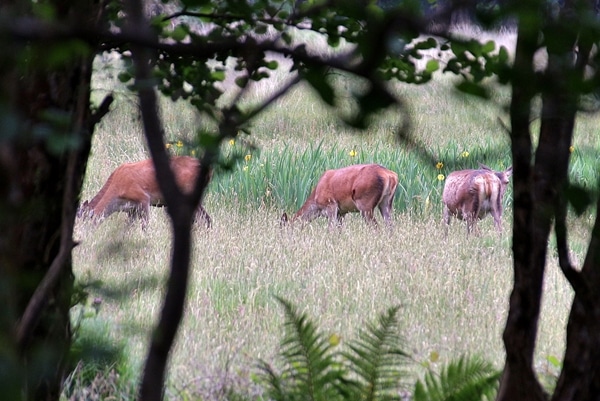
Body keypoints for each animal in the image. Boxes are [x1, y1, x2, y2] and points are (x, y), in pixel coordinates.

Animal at [78, 155, 212, 228]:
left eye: (84, 219)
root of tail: (209, 170)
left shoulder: (143, 198)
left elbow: (145, 226)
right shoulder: (131, 210)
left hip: (188, 194)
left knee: (203, 219)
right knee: (207, 219)